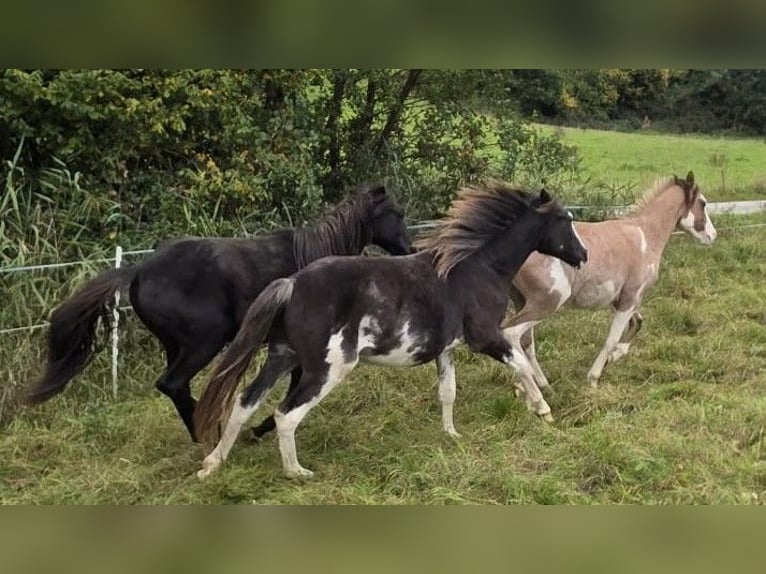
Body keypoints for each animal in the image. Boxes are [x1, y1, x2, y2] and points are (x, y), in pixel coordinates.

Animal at [24, 183, 413, 441]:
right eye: (396, 214)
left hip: (176, 346)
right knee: (172, 383)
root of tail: (139, 271)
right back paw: (209, 433)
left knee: (175, 388)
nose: (409, 249)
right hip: (204, 343)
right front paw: (260, 429)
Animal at [192, 182, 588, 479]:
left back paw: (211, 464)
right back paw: (297, 472)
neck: (476, 268)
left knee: (243, 402)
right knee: (285, 415)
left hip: (282, 357)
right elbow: (521, 363)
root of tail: (291, 284)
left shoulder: (447, 349)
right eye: (563, 220)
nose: (582, 255)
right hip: (325, 369)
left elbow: (448, 392)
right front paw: (542, 409)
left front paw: (451, 434)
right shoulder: (486, 336)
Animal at [502, 171, 716, 391]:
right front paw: (594, 377)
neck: (644, 235)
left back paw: (543, 386)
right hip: (548, 302)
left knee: (526, 343)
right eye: (703, 203)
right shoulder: (631, 296)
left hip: (522, 301)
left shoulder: (621, 298)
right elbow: (612, 339)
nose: (712, 235)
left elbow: (638, 322)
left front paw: (614, 357)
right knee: (510, 334)